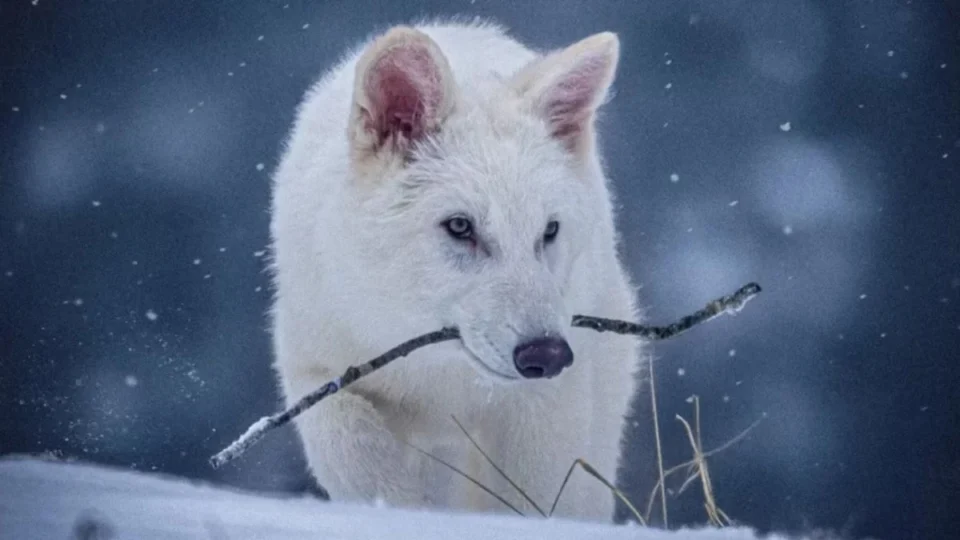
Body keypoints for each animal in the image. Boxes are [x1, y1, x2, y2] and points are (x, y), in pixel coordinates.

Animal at [267, 18, 648, 523]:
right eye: (460, 226)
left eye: (548, 231)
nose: (547, 355)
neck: (439, 371)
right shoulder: (316, 371)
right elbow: (356, 454)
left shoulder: (545, 405)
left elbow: (536, 499)